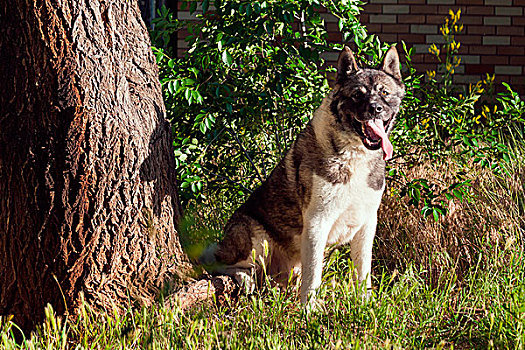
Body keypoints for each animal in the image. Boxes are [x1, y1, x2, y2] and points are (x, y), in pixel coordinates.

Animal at [201, 45, 406, 304]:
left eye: (384, 93)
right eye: (358, 95)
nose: (375, 108)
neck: (353, 155)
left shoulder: (366, 225)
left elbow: (363, 272)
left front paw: (364, 303)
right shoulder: (317, 223)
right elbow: (313, 275)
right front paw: (309, 309)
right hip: (256, 239)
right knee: (215, 262)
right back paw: (242, 276)